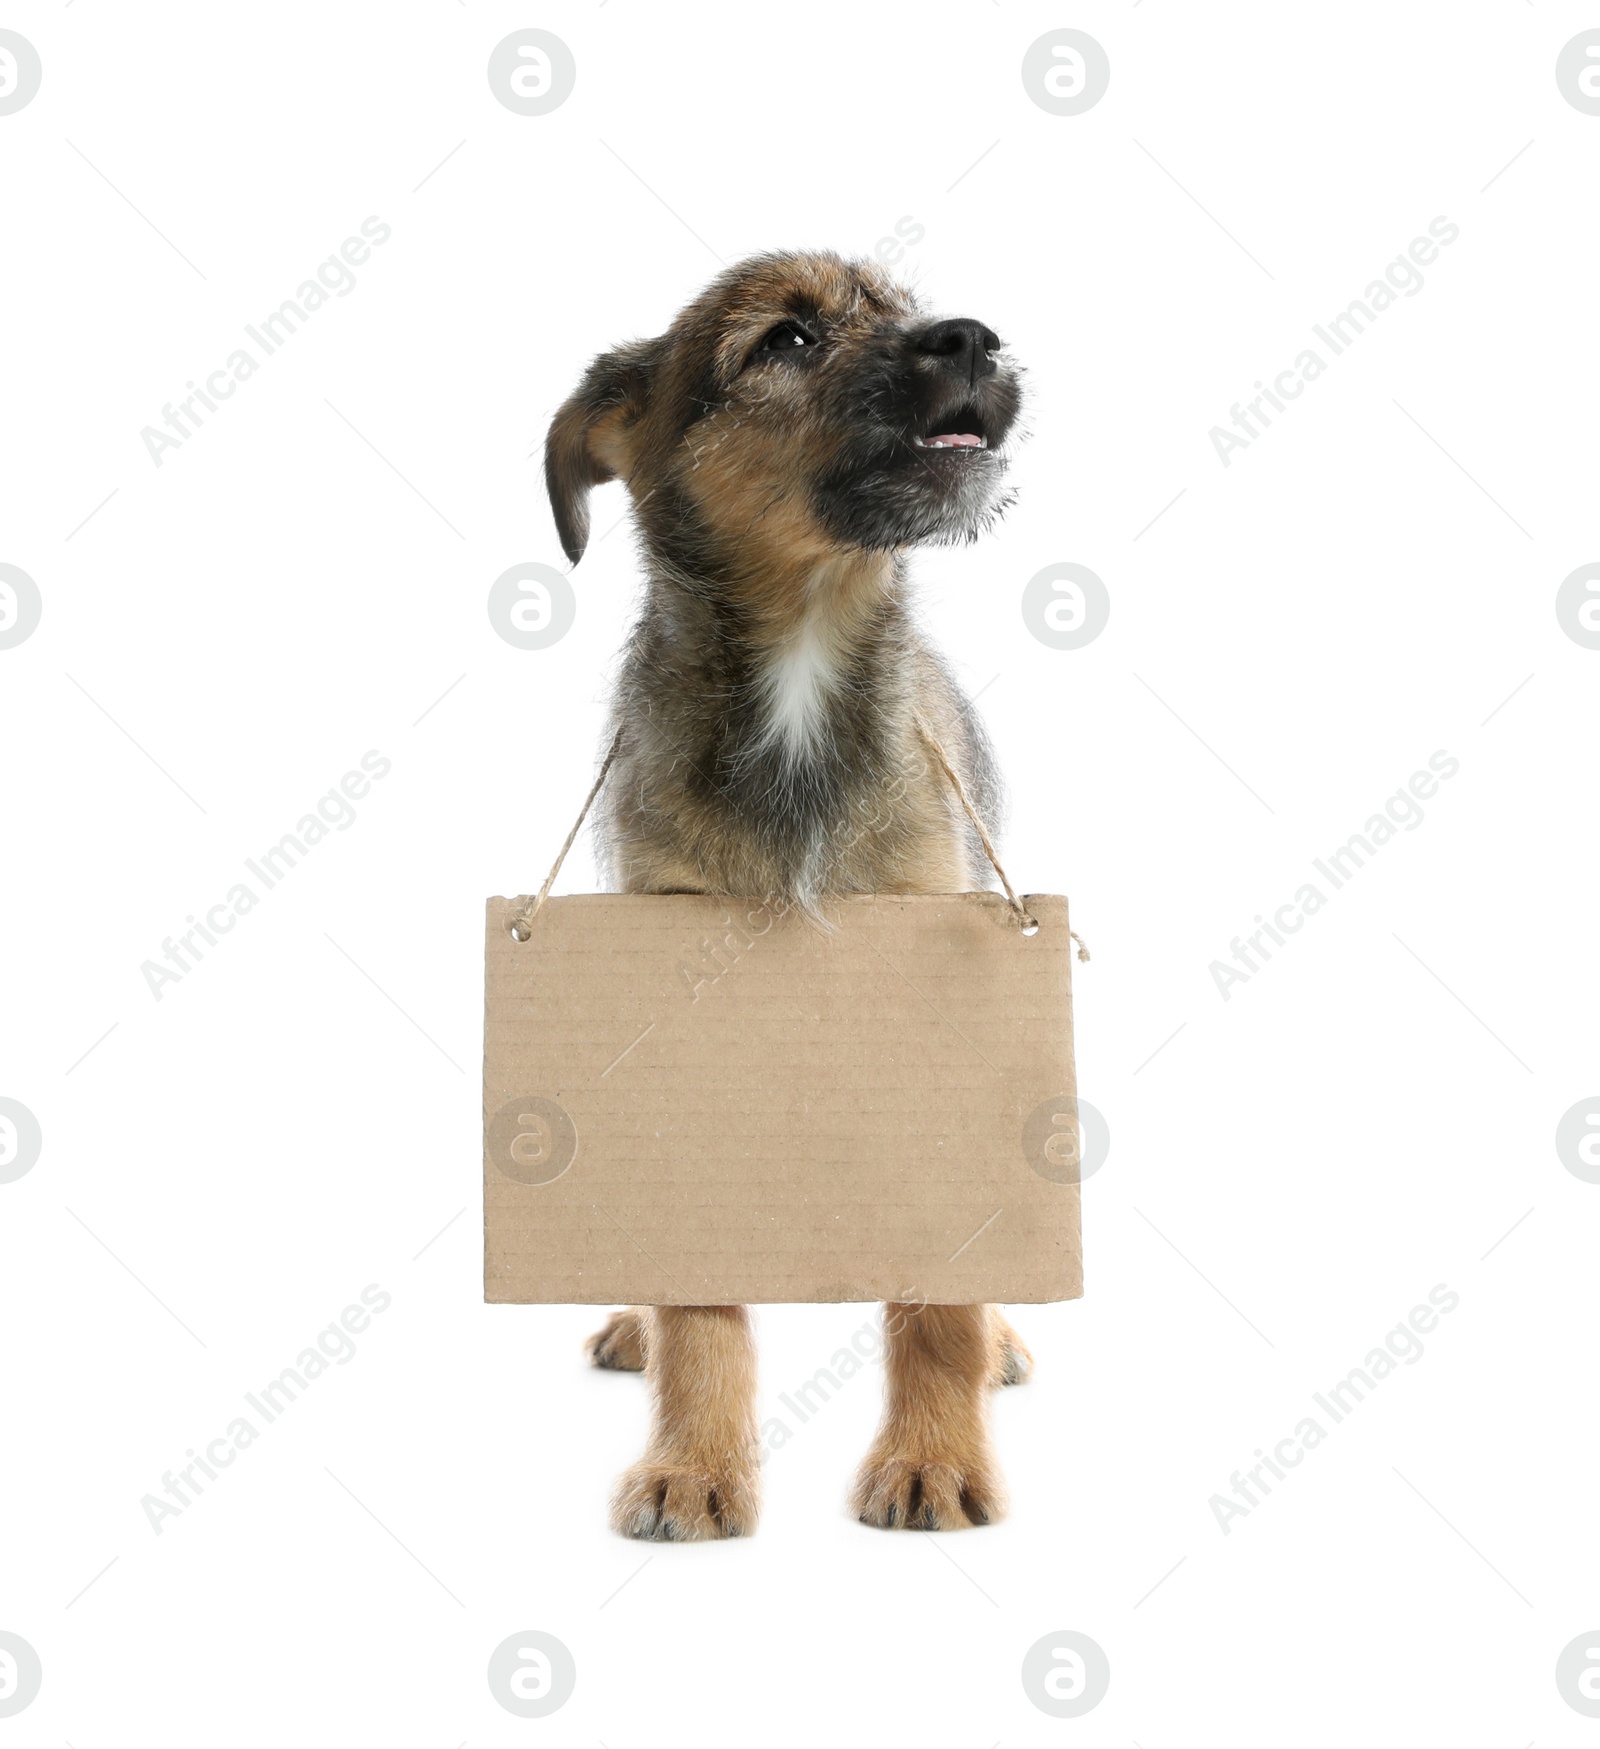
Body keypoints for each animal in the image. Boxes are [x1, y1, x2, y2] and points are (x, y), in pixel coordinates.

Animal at [545, 253, 1035, 1539]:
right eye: (787, 339)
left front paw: (933, 1459)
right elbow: (701, 1310)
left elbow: (938, 1305)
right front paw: (694, 1465)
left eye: (907, 305)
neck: (801, 671)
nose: (973, 338)